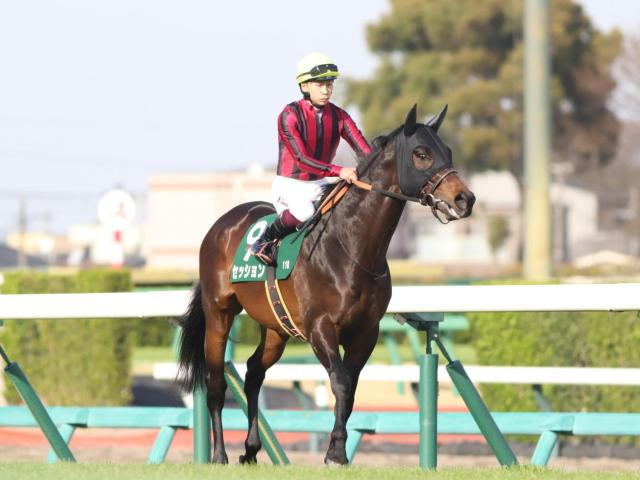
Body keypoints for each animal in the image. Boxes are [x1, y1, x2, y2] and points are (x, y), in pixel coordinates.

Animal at [177, 104, 475, 465]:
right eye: (421, 153)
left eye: (448, 151)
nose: (465, 199)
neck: (351, 249)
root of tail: (221, 225)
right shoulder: (320, 326)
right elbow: (342, 383)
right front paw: (336, 452)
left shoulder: (366, 332)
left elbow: (351, 388)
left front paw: (336, 449)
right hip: (218, 314)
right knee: (216, 383)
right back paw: (219, 454)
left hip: (275, 328)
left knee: (253, 373)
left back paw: (250, 449)